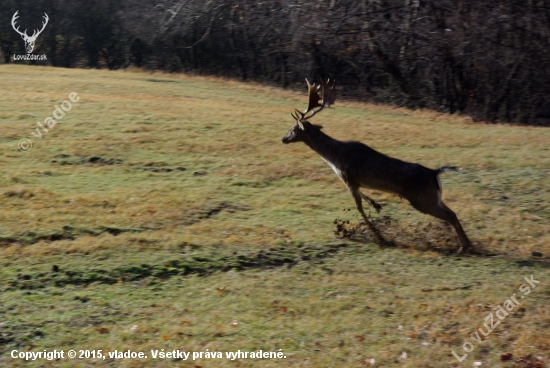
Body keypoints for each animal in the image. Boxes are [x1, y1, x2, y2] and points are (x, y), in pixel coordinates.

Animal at [282, 79, 472, 253]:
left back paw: (463, 247)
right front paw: (376, 205)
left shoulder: (348, 178)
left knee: (450, 215)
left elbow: (359, 208)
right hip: (435, 197)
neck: (334, 157)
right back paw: (467, 244)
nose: (283, 139)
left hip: (423, 199)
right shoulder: (356, 182)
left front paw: (380, 237)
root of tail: (435, 173)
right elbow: (365, 197)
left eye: (293, 129)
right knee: (452, 212)